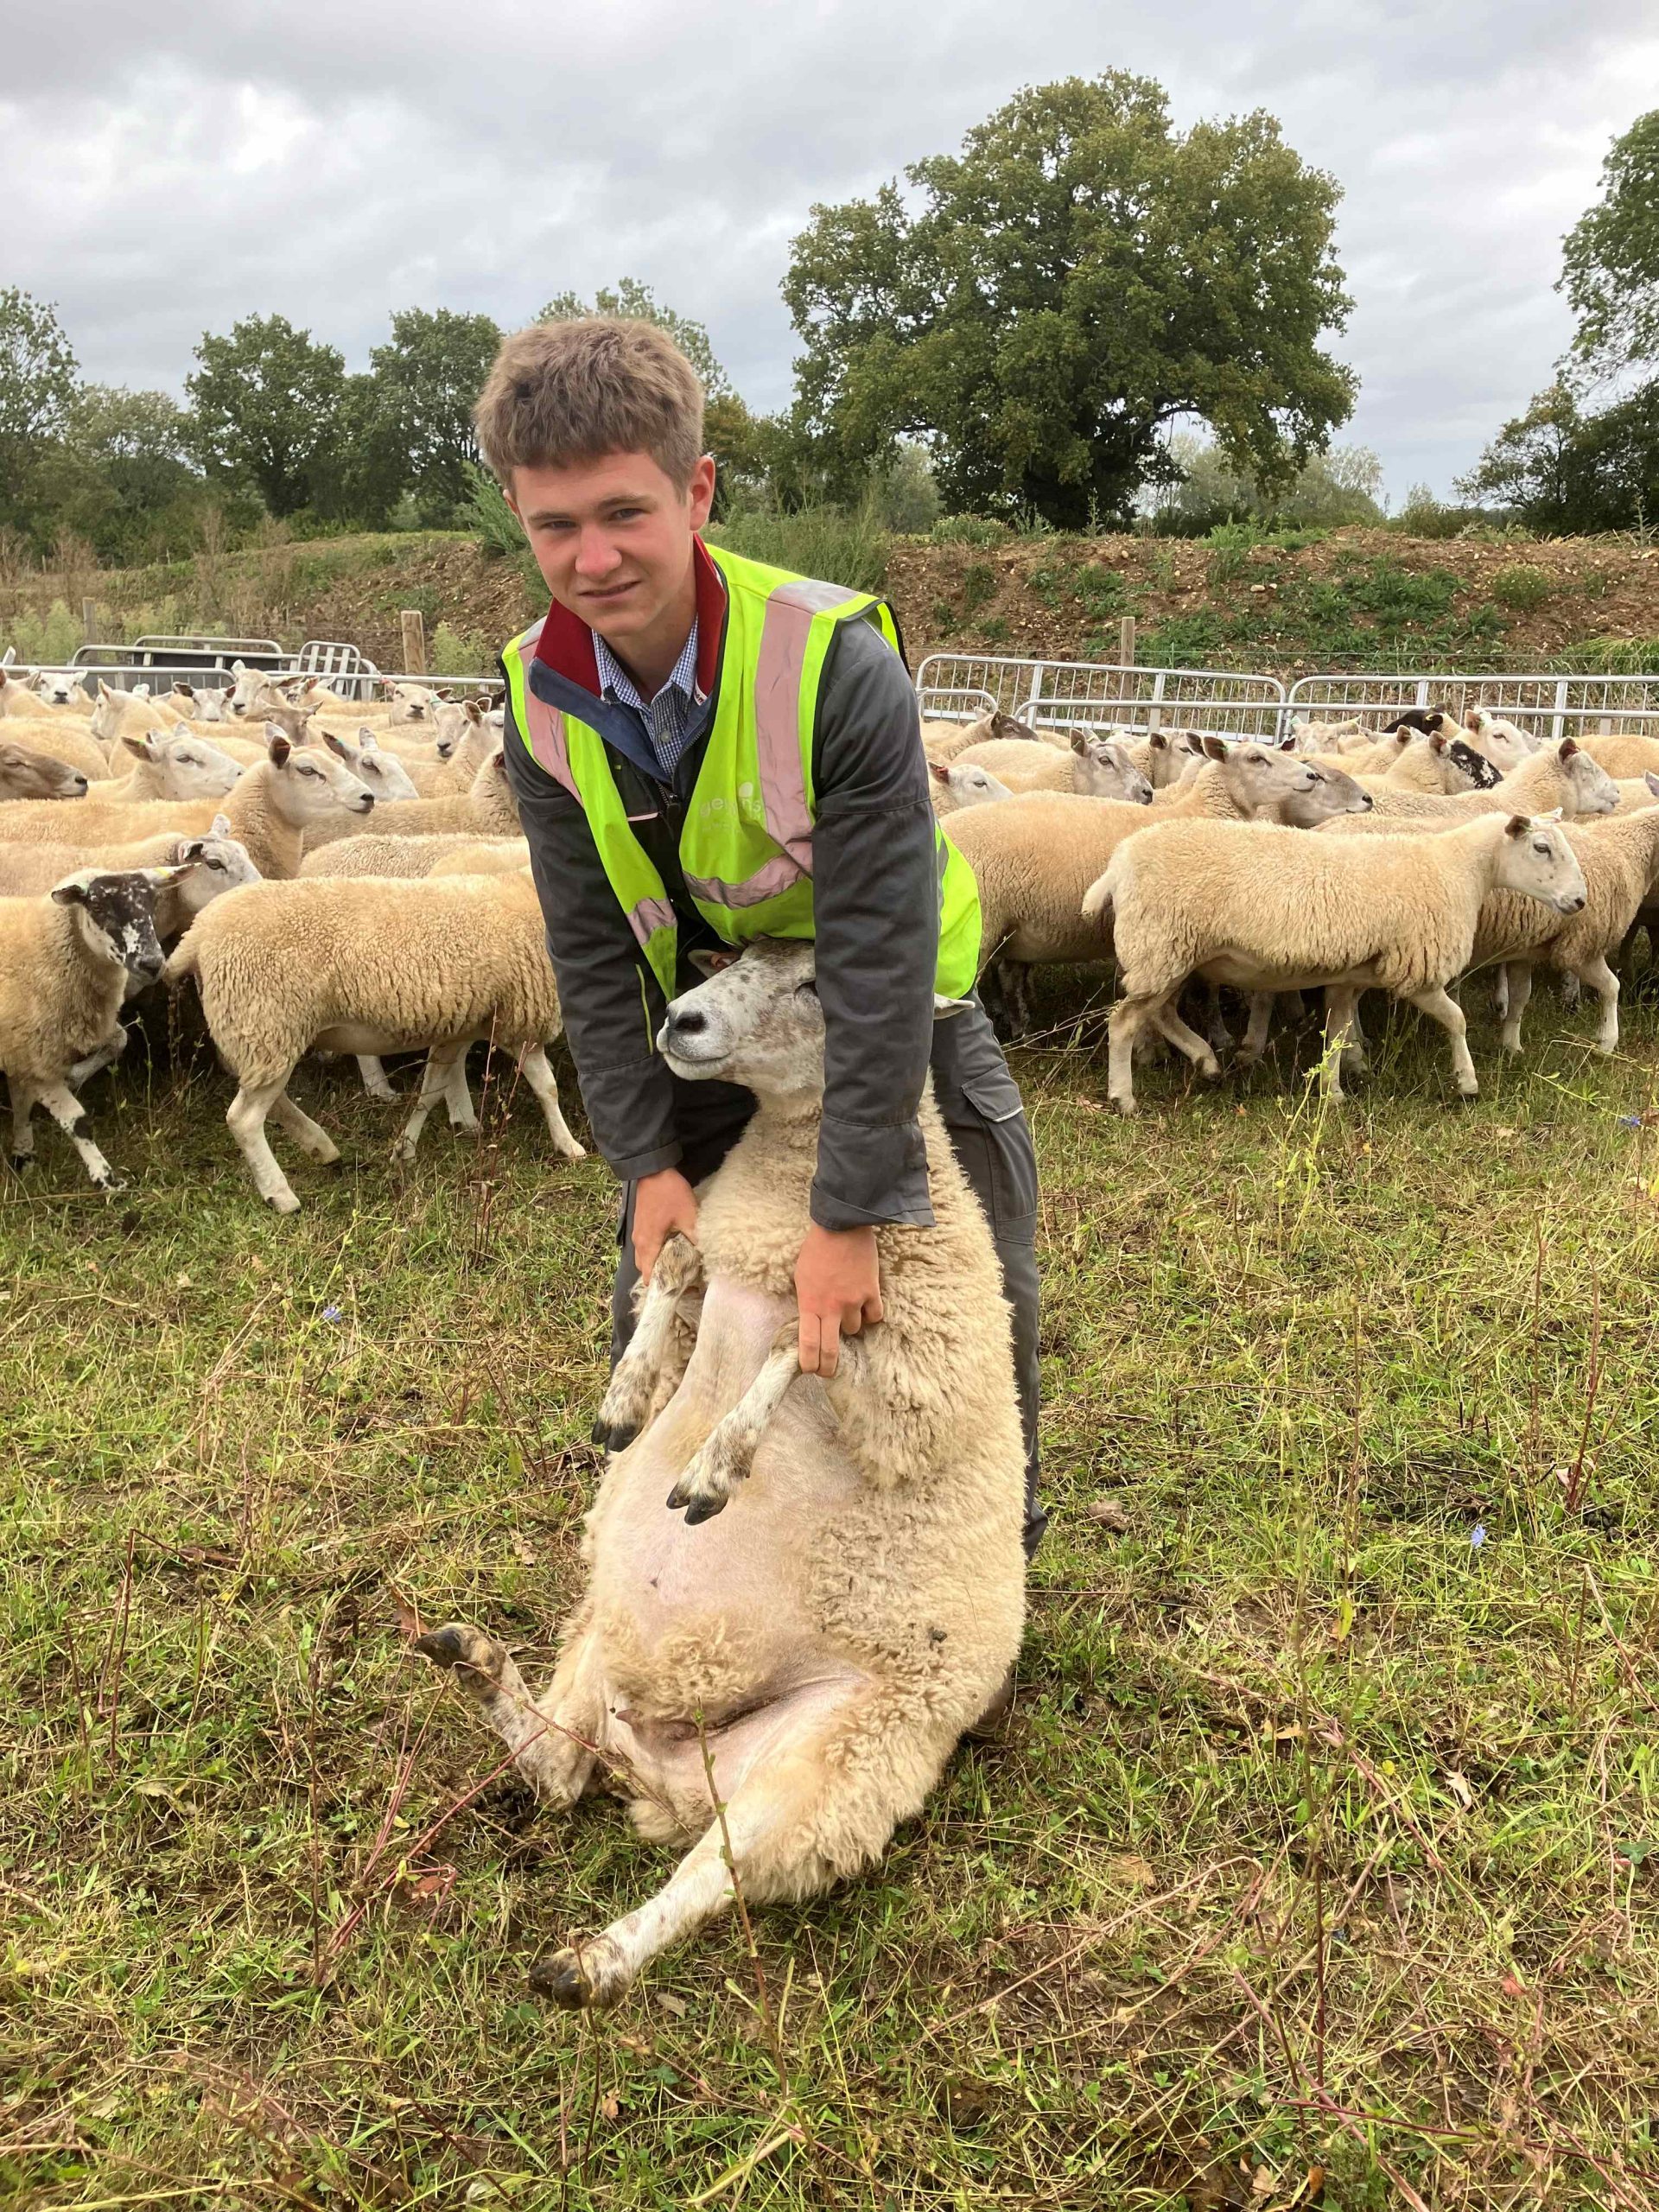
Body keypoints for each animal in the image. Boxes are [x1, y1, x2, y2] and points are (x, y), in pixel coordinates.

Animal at [0, 864, 193, 1189]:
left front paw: (23, 1154)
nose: (153, 964)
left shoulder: (24, 1050)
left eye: (152, 902)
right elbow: (77, 1121)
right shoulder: (37, 1056)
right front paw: (107, 1180)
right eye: (99, 907)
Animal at [165, 867, 586, 1211]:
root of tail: (198, 932)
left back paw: (320, 1147)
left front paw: (405, 1149)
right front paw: (568, 1145)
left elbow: (431, 1090)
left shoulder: (462, 1026)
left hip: (260, 1033)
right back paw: (281, 1194)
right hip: (270, 1021)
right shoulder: (521, 1019)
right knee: (244, 1119)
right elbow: (546, 1087)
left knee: (271, 1101)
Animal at [410, 935, 1023, 2009]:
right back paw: (476, 1662)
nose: (679, 1019)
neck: (788, 1188)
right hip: (602, 1632)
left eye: (819, 981)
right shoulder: (715, 1247)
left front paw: (715, 1464)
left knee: (714, 1870)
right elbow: (675, 1263)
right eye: (733, 958)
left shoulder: (918, 1381)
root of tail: (665, 1774)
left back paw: (594, 1961)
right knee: (557, 1766)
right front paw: (628, 1394)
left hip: (833, 1765)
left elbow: (799, 1343)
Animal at [1088, 812, 1587, 1115]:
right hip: (1160, 946)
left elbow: (1338, 1031)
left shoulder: (1351, 974)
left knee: (1161, 1013)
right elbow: (1458, 1020)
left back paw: (1206, 1061)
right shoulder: (1416, 970)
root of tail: (1117, 864)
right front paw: (1467, 1083)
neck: (1458, 871)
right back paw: (1124, 1096)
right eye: (1542, 847)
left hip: (1169, 953)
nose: (1580, 901)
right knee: (1124, 1022)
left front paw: (1334, 1091)